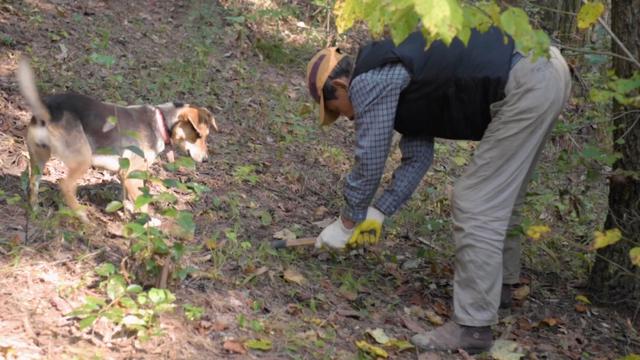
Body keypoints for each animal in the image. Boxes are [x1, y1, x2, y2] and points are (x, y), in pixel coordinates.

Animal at [15, 58, 220, 222]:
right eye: (200, 135)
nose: (205, 159)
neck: (160, 121)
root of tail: (48, 110)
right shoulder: (131, 174)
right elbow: (142, 204)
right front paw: (148, 222)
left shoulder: (125, 176)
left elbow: (128, 201)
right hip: (82, 159)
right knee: (65, 186)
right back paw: (82, 215)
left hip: (38, 158)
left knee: (33, 184)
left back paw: (35, 210)